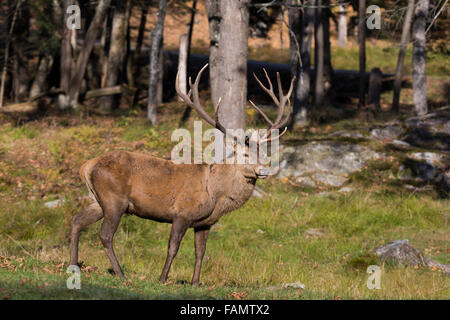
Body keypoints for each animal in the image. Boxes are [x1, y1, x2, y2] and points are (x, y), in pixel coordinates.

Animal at [69, 65, 296, 284]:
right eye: (245, 154)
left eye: (264, 153)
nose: (264, 170)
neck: (215, 193)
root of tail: (87, 165)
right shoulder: (182, 213)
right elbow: (173, 248)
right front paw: (162, 279)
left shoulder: (205, 223)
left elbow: (201, 253)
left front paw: (195, 282)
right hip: (114, 199)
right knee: (105, 235)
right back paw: (120, 274)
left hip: (98, 201)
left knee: (77, 220)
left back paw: (73, 265)